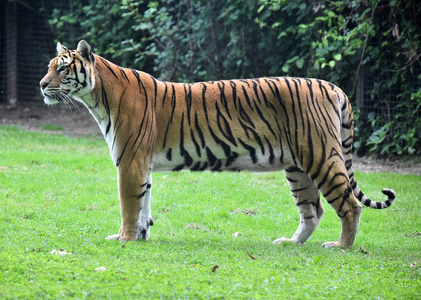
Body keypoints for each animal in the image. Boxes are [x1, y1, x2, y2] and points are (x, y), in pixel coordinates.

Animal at [39, 41, 394, 247]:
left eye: (62, 68)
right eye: (48, 67)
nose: (41, 85)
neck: (97, 97)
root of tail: (333, 87)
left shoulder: (130, 162)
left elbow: (130, 206)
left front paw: (123, 238)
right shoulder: (142, 165)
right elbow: (143, 204)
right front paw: (140, 236)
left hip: (321, 156)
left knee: (350, 204)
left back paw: (341, 246)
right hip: (297, 168)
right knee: (313, 209)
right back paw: (289, 243)